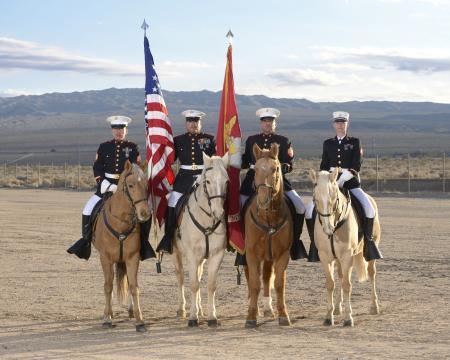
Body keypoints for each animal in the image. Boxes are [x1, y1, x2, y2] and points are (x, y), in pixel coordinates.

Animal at [92, 160, 150, 332]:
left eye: (146, 185)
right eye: (130, 185)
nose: (145, 213)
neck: (120, 222)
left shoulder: (132, 257)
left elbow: (133, 286)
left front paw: (139, 320)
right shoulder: (105, 258)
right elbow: (107, 286)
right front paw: (107, 318)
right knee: (109, 284)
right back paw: (109, 313)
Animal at [171, 153, 230, 328]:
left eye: (226, 181)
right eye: (208, 181)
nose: (218, 212)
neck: (206, 220)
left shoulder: (216, 255)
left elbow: (210, 285)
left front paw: (212, 316)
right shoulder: (191, 255)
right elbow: (193, 284)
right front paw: (192, 317)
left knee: (198, 275)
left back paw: (200, 309)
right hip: (176, 252)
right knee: (181, 276)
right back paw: (182, 309)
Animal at [244, 143, 294, 330]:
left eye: (275, 169)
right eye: (256, 169)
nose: (263, 200)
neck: (268, 218)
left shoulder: (282, 255)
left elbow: (279, 284)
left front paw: (283, 315)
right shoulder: (251, 254)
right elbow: (254, 283)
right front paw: (251, 316)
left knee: (266, 277)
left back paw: (267, 309)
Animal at [312, 169, 382, 326]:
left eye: (334, 198)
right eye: (315, 199)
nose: (328, 229)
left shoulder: (347, 256)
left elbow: (346, 285)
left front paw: (348, 317)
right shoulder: (325, 257)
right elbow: (330, 284)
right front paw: (329, 316)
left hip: (371, 248)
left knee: (371, 273)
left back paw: (374, 307)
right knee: (340, 275)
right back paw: (338, 308)